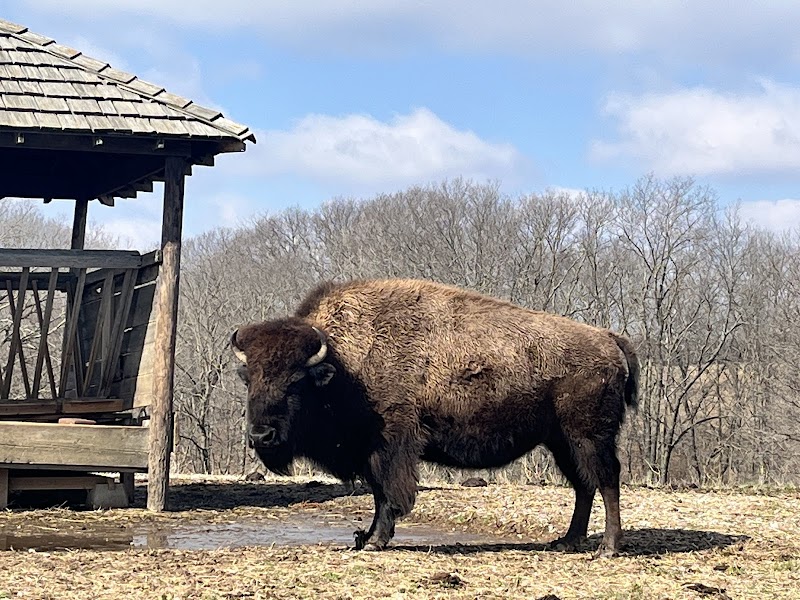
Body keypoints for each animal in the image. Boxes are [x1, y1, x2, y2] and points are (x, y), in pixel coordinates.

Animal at [231, 278, 639, 556]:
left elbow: (387, 494)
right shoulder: (371, 452)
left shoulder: (390, 448)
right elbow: (377, 493)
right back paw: (568, 541)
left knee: (606, 480)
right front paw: (365, 538)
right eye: (249, 378)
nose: (261, 436)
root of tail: (609, 338)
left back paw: (607, 547)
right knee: (584, 484)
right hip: (561, 441)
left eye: (295, 381)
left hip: (588, 435)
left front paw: (375, 541)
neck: (342, 362)